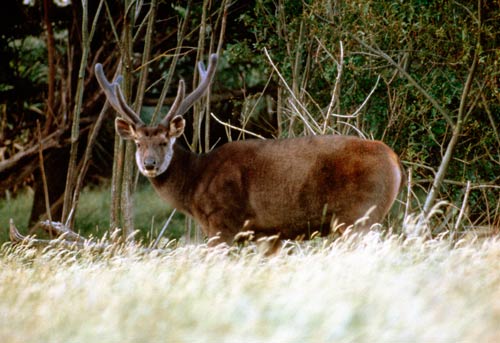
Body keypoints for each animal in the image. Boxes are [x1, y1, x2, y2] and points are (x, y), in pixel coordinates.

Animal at [95, 53, 404, 247]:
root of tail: (394, 161)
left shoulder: (222, 221)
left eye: (163, 141)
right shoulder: (267, 234)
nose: (149, 164)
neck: (195, 185)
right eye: (138, 142)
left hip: (358, 214)